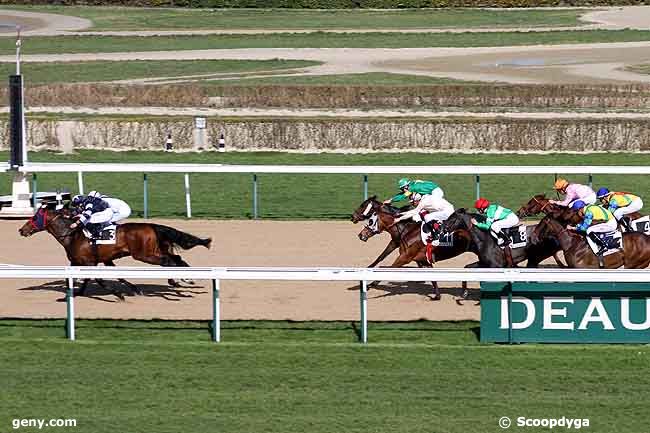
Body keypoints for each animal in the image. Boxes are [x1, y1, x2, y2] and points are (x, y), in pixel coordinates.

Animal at [19, 202, 211, 296]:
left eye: (34, 218)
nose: (21, 230)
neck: (73, 234)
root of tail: (151, 226)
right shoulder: (96, 260)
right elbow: (114, 276)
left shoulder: (89, 262)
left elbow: (97, 279)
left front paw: (118, 293)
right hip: (158, 250)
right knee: (176, 260)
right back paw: (184, 279)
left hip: (144, 254)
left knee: (168, 262)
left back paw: (180, 280)